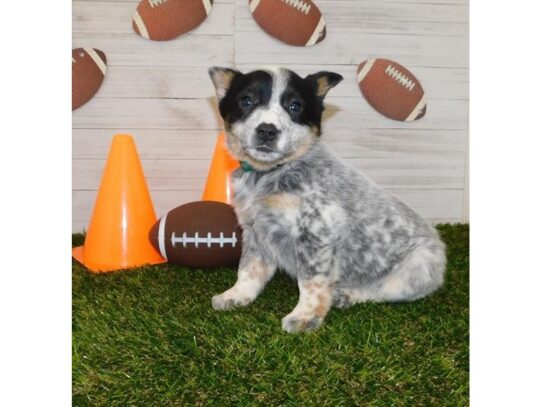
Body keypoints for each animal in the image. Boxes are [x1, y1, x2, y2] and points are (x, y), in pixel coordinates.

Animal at [208, 67, 446, 334]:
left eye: (295, 106)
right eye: (246, 101)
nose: (267, 130)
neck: (267, 175)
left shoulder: (317, 231)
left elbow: (311, 282)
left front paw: (305, 316)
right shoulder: (254, 229)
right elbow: (248, 269)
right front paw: (236, 295)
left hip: (416, 269)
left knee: (384, 290)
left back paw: (347, 295)